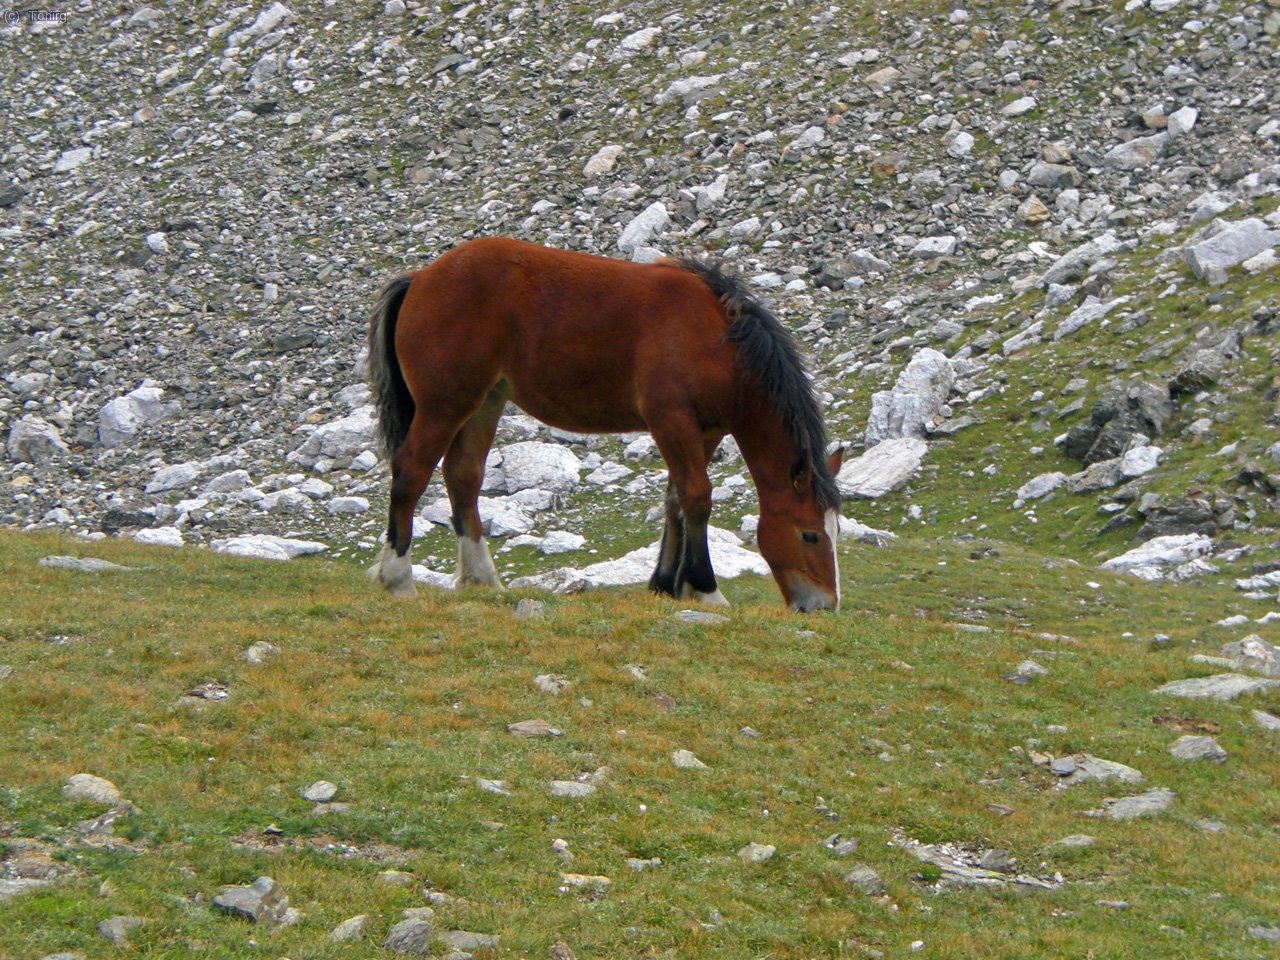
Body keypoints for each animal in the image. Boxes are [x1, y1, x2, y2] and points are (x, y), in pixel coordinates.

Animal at [363, 241, 839, 616]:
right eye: (810, 535)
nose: (824, 606)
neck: (719, 342)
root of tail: (421, 278)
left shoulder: (704, 432)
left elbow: (676, 500)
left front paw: (667, 584)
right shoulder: (672, 421)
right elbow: (697, 498)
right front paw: (705, 589)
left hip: (485, 403)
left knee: (463, 477)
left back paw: (483, 580)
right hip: (444, 406)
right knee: (411, 472)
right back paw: (398, 579)